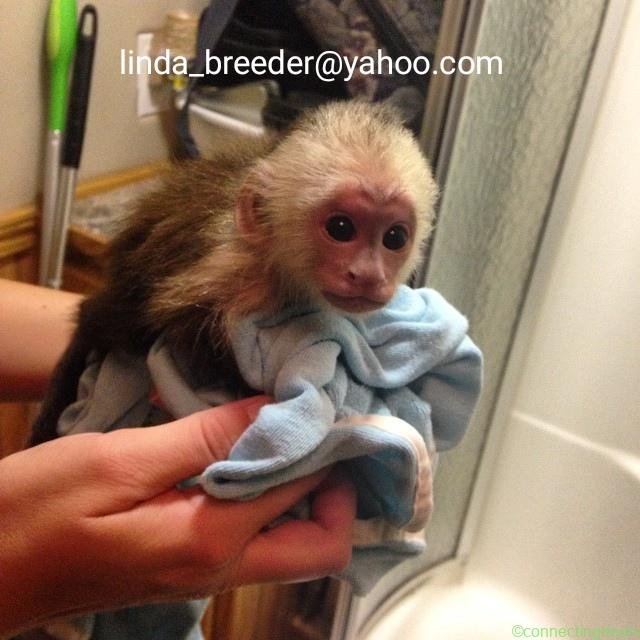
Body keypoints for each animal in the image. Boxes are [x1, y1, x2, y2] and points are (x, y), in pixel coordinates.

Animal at [30, 101, 439, 446]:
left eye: (394, 237)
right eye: (341, 228)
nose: (368, 274)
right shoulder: (229, 268)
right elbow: (181, 327)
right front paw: (246, 389)